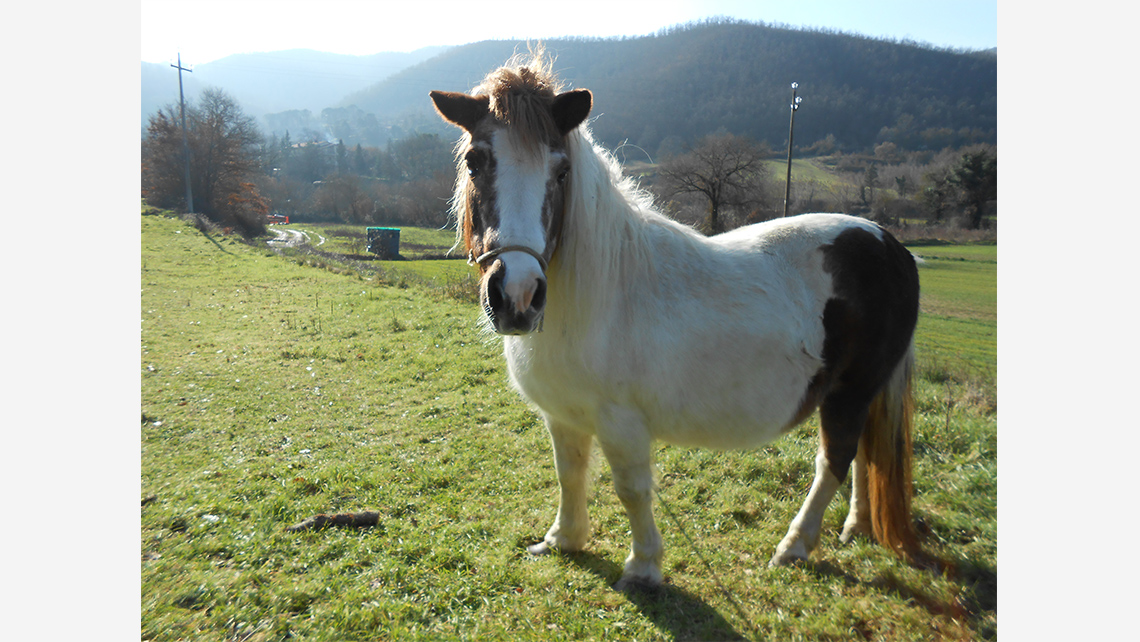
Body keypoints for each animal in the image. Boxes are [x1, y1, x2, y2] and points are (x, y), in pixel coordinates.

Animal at [430, 56, 921, 592]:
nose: (518, 296)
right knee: (867, 454)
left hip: (848, 393)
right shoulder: (563, 415)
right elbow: (569, 473)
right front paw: (564, 539)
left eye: (562, 170)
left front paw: (643, 567)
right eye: (475, 161)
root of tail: (890, 245)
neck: (601, 296)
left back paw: (794, 547)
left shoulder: (621, 422)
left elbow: (631, 490)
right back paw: (856, 527)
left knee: (835, 459)